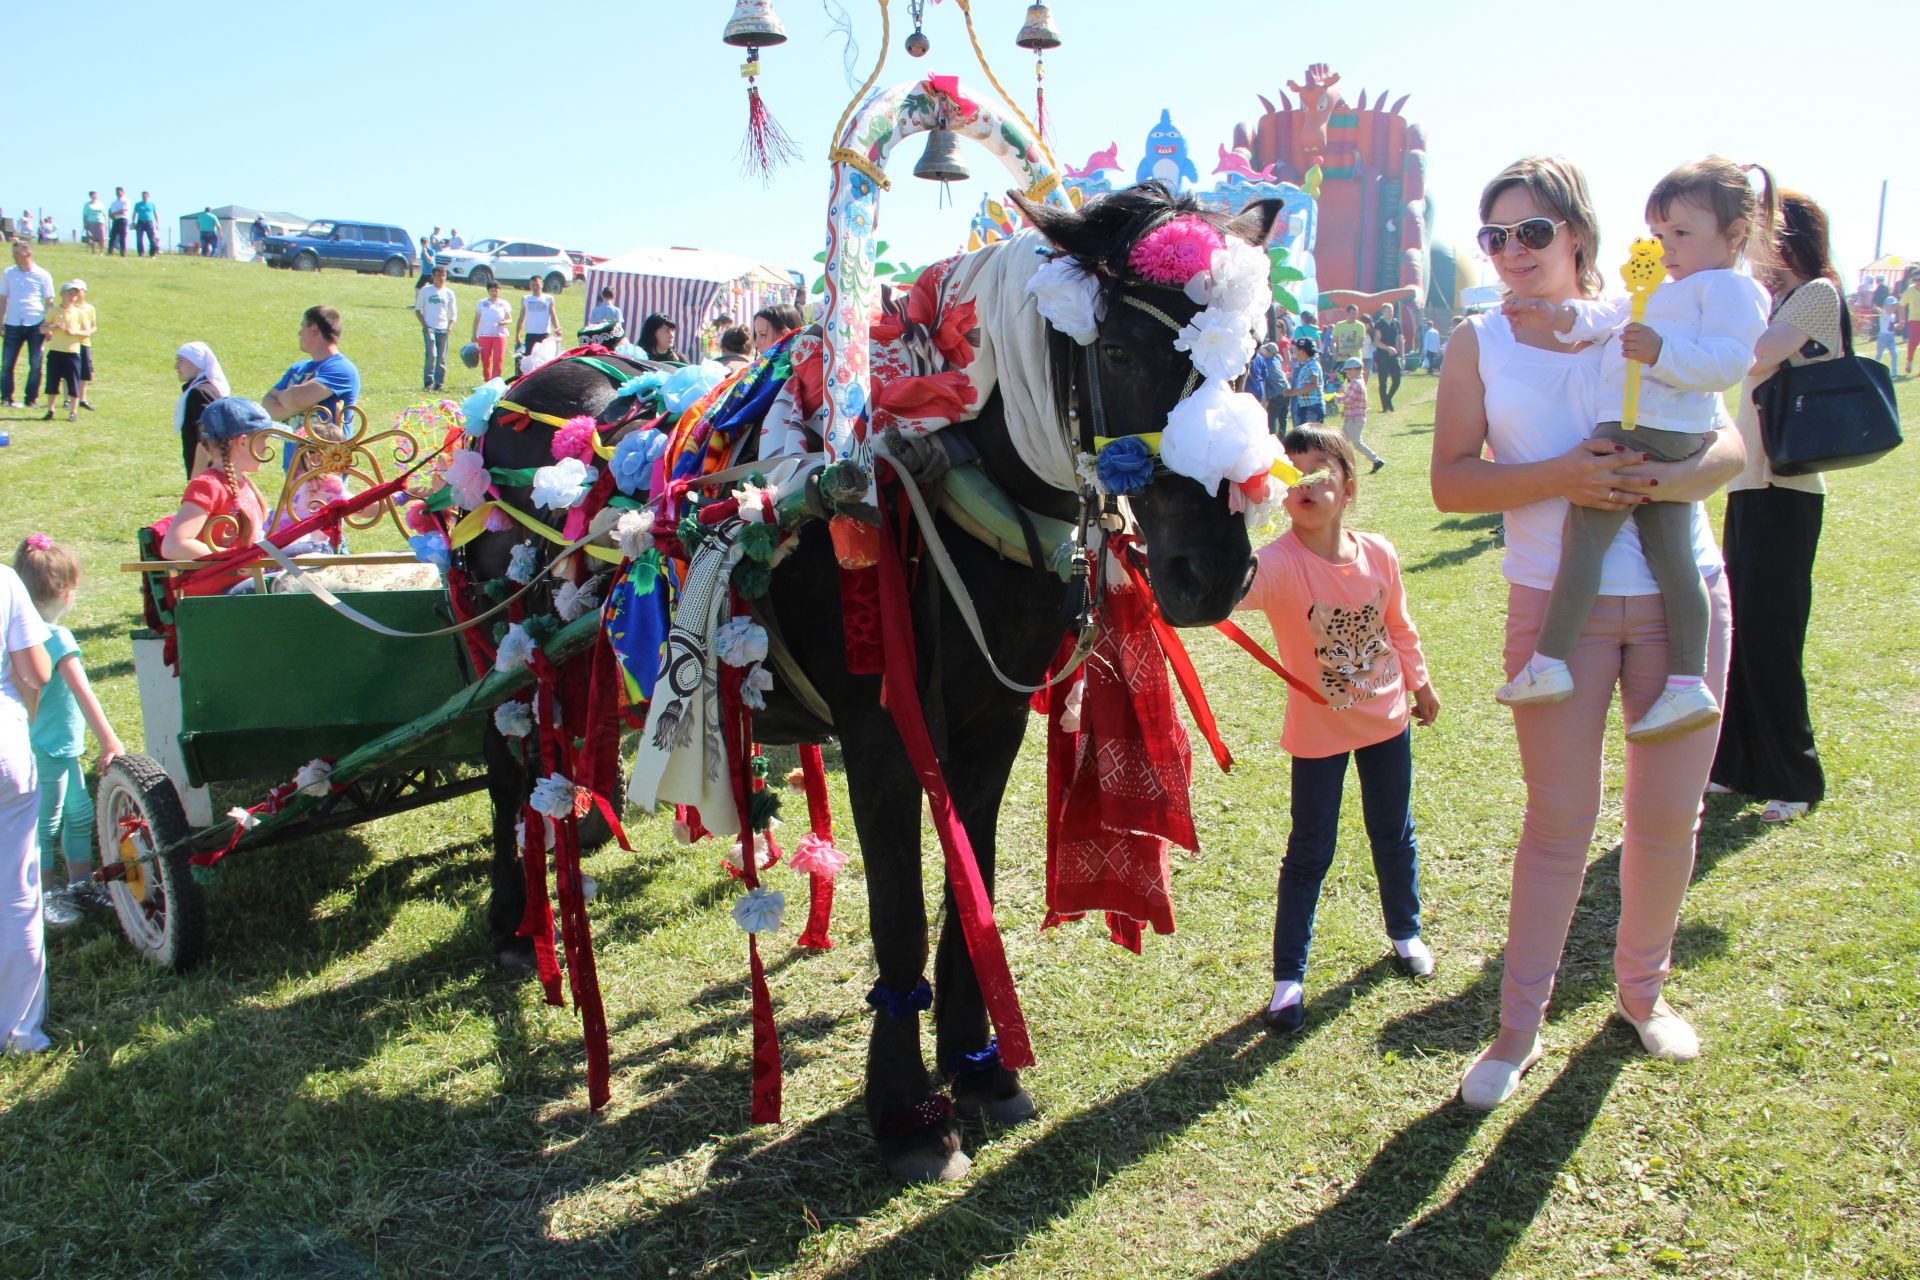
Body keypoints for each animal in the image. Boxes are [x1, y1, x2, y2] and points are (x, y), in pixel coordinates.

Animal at [456, 185, 1282, 1189]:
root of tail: (538, 384)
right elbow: (900, 910)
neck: (938, 472)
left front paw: (979, 1062)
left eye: (1251, 349)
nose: (1217, 572)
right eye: (1118, 351)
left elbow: (974, 877)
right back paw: (513, 922)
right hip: (509, 638)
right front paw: (906, 1112)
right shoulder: (883, 734)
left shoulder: (993, 722)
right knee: (506, 771)